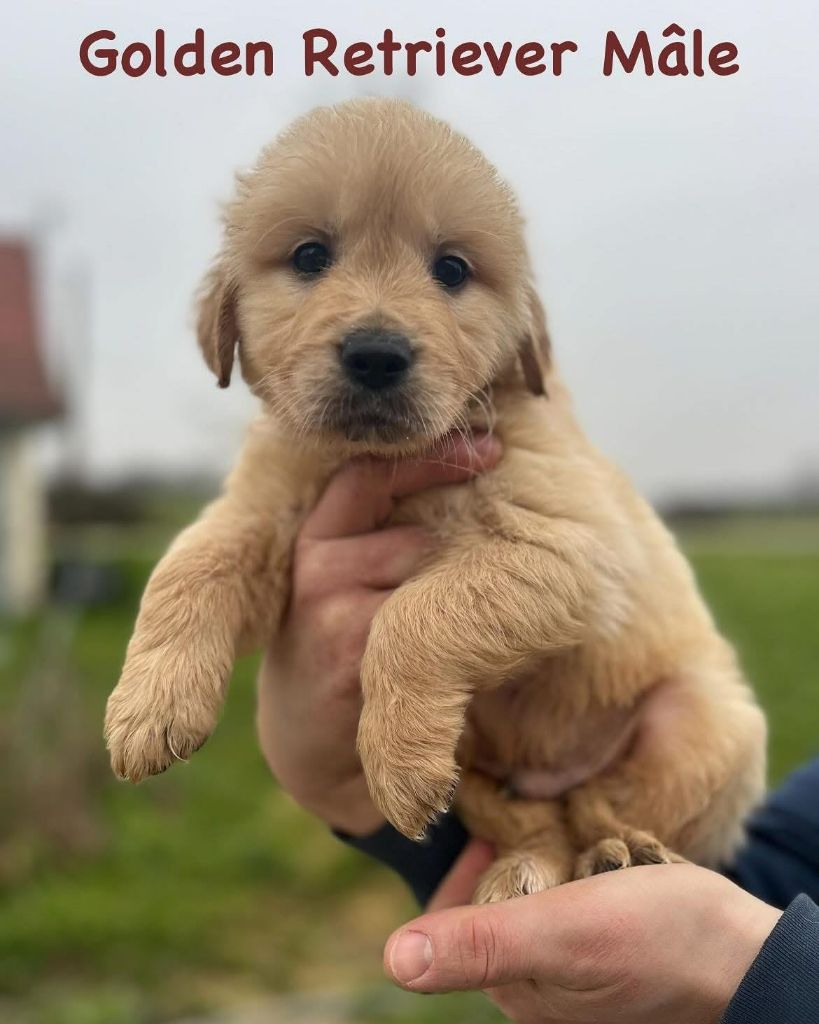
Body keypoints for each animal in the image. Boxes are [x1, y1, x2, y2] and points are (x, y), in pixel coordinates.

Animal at [105, 99, 765, 901]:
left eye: (451, 269)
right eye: (309, 256)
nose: (376, 354)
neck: (377, 457)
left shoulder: (577, 546)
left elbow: (413, 613)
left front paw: (398, 762)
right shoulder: (263, 509)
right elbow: (189, 560)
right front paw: (148, 706)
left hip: (703, 726)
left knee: (605, 808)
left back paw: (623, 854)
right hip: (487, 777)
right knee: (545, 824)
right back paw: (528, 871)